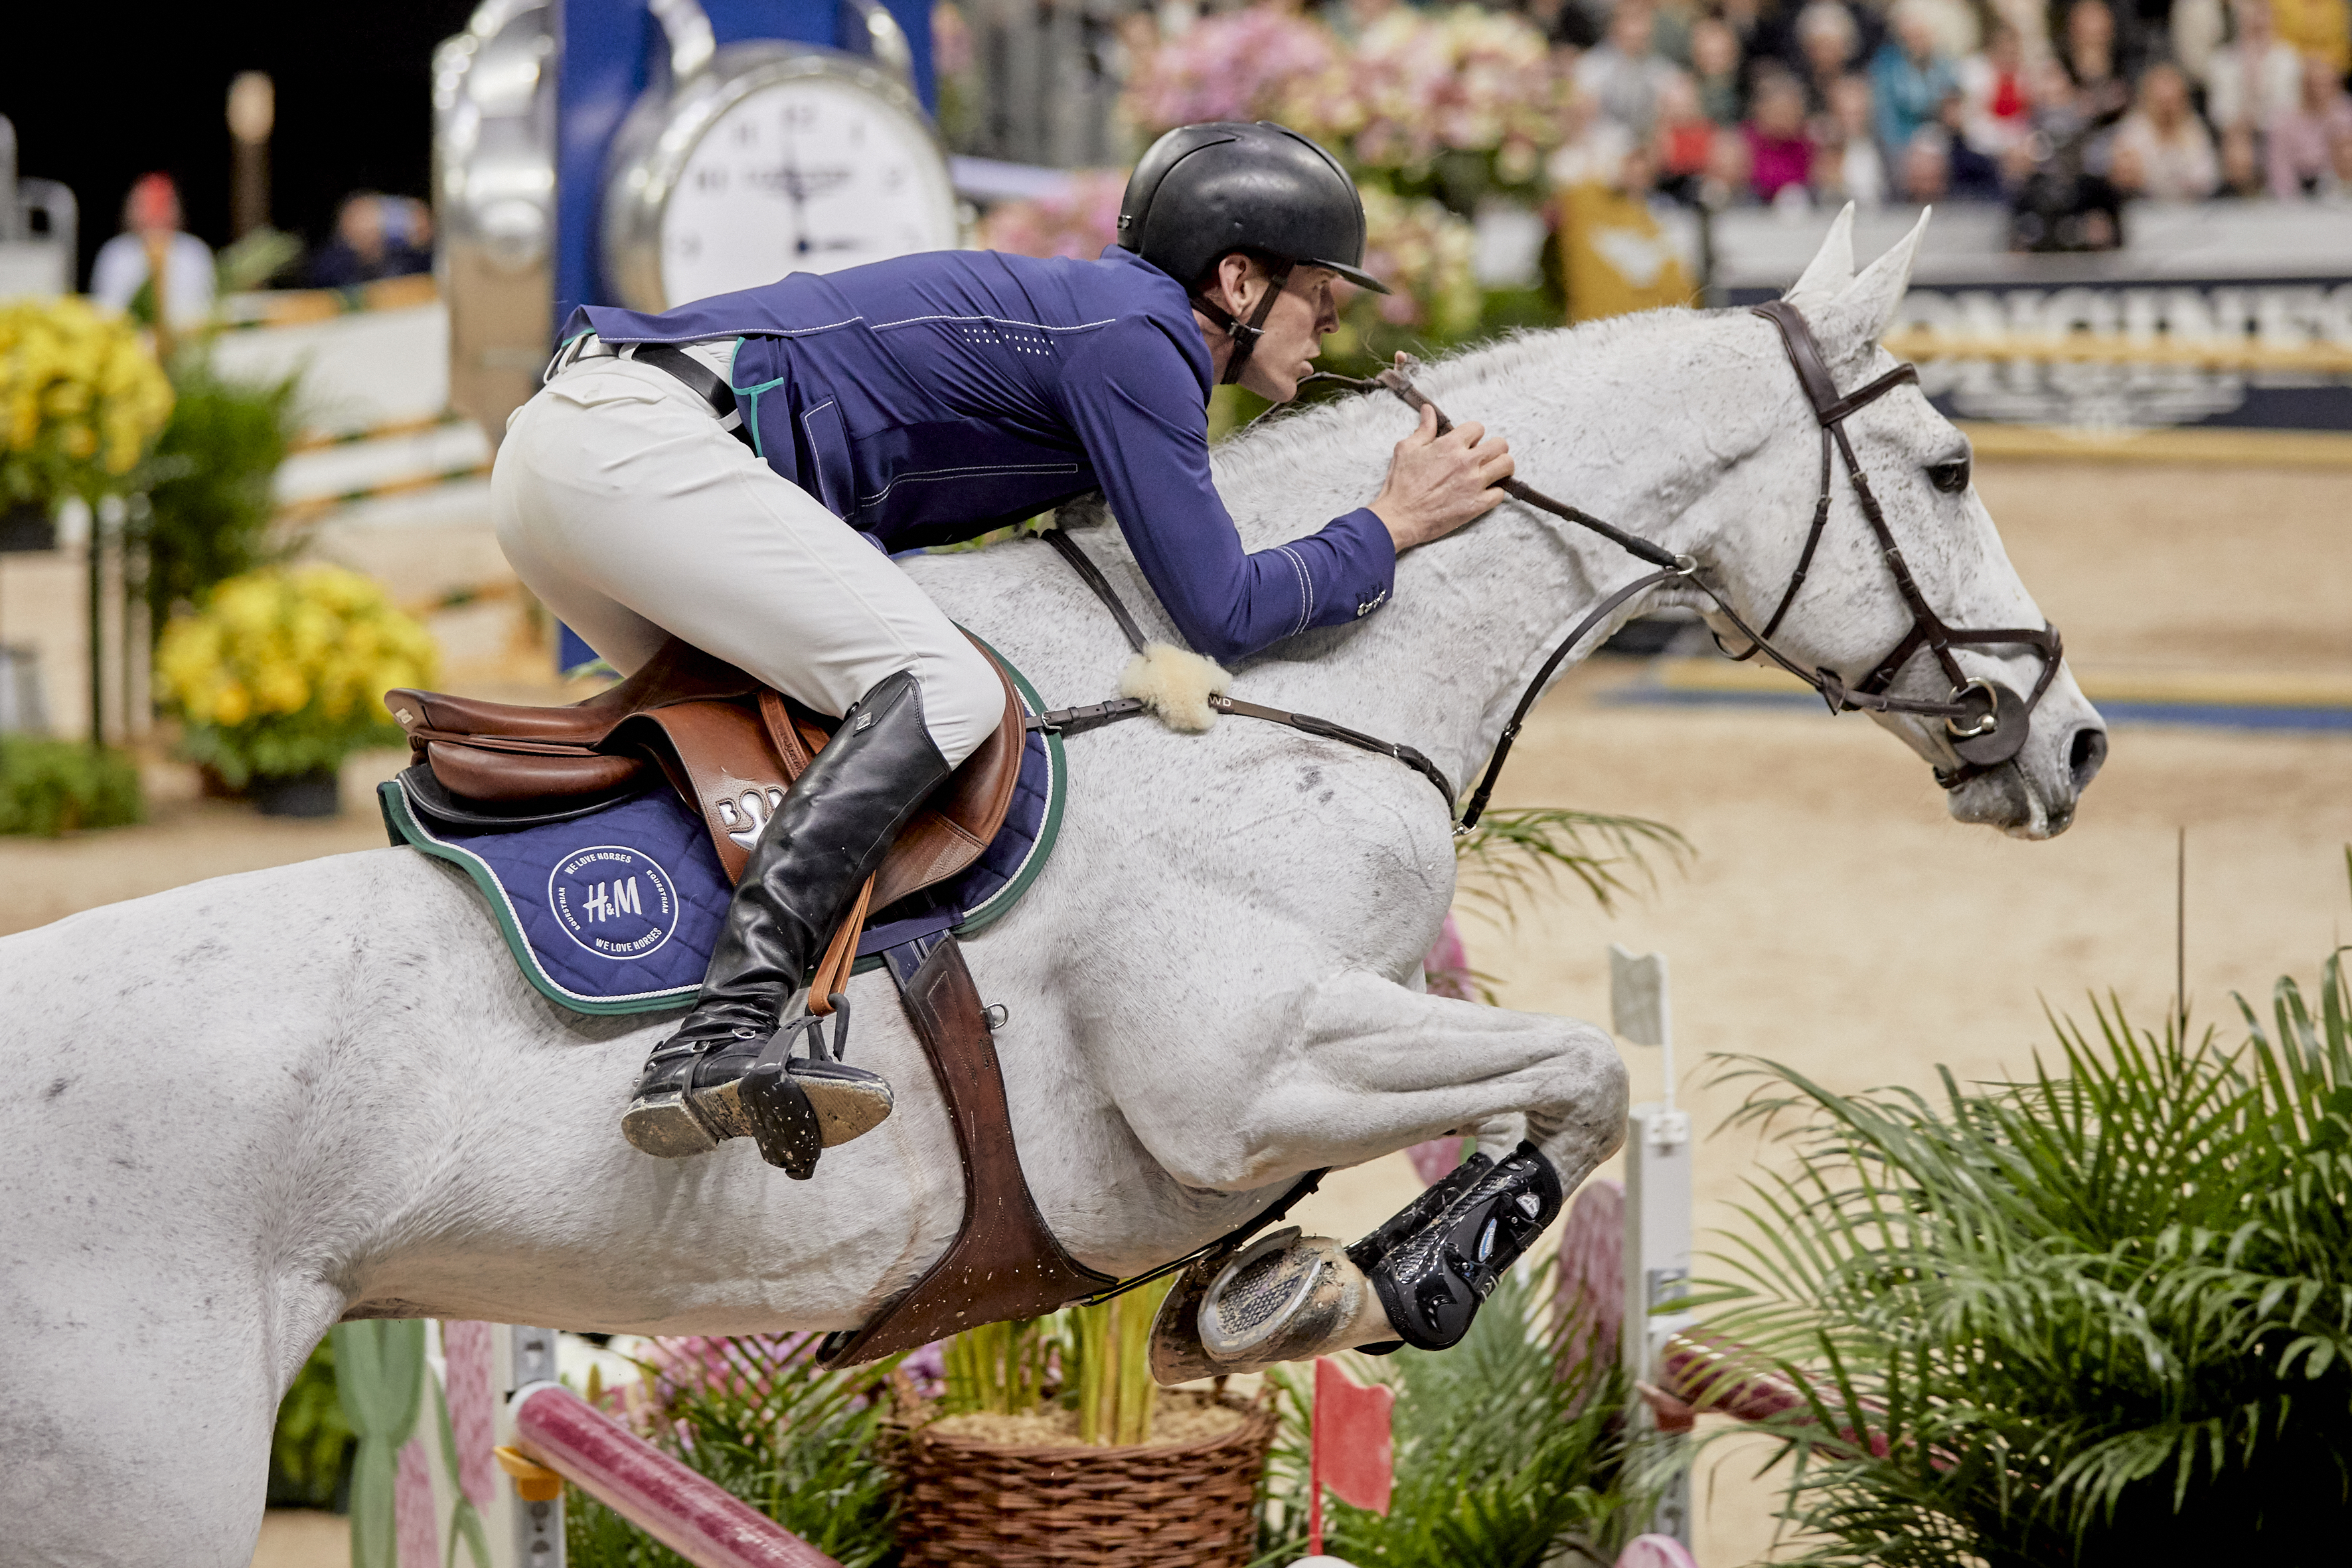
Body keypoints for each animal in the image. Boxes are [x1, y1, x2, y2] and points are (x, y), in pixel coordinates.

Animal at [0, 211, 2098, 1568]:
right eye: (1947, 460)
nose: (2070, 742)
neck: (1278, 677)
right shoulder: (1239, 1062)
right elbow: (1576, 1072)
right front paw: (1383, 1279)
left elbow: (1537, 1089)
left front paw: (1265, 1290)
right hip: (141, 1479)